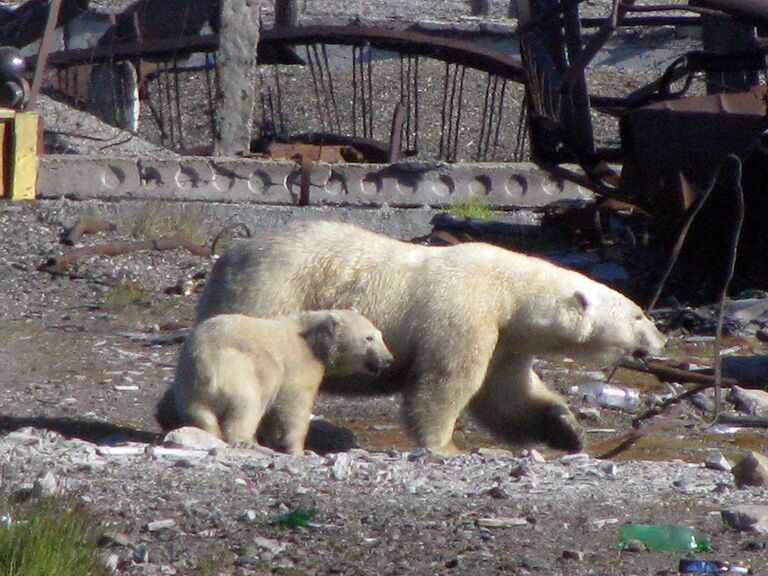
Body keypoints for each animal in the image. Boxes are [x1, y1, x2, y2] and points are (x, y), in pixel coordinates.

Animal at [194, 220, 664, 454]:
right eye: (639, 314)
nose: (660, 340)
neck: (509, 291)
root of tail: (229, 257)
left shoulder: (506, 340)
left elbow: (506, 395)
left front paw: (567, 430)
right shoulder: (465, 312)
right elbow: (447, 382)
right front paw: (445, 446)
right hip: (272, 291)